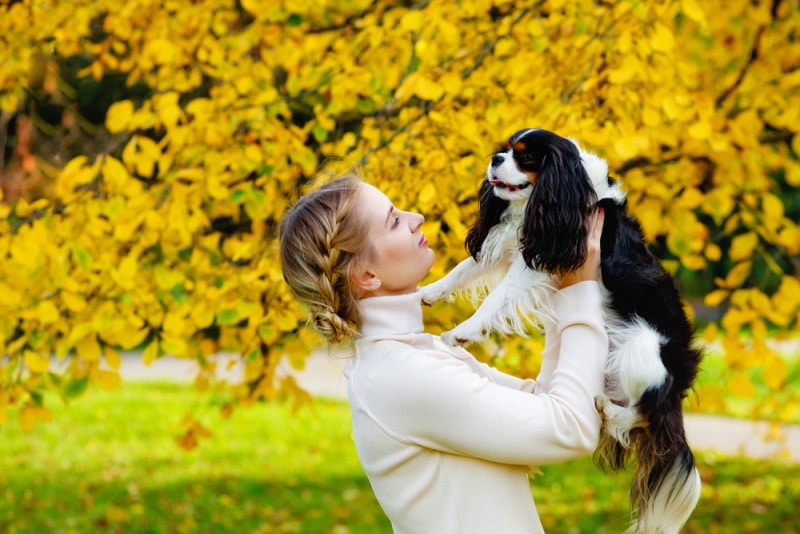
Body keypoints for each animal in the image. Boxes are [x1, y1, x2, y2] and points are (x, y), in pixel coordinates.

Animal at [422, 130, 704, 534]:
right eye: (504, 150)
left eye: (525, 158)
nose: (494, 159)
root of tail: (680, 380)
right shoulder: (517, 245)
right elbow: (462, 270)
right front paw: (427, 293)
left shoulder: (539, 259)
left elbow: (495, 298)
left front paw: (462, 331)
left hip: (642, 347)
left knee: (646, 410)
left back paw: (610, 410)